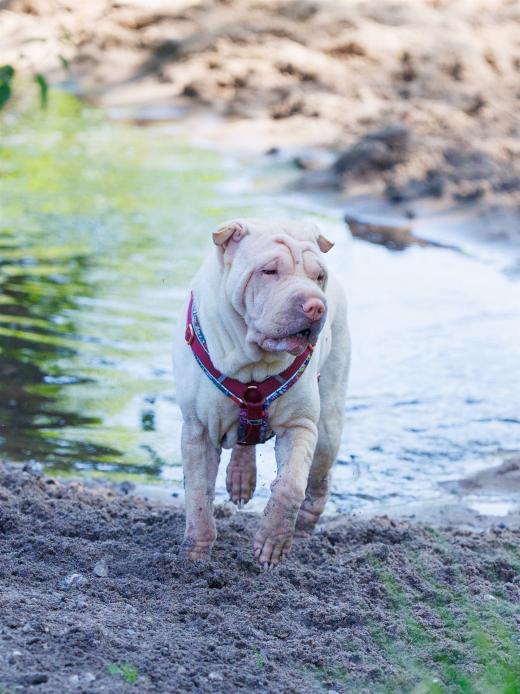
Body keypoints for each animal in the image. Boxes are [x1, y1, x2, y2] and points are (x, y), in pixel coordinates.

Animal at [172, 218, 350, 567]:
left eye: (318, 276)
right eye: (268, 271)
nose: (315, 307)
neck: (253, 361)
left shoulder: (300, 425)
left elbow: (290, 486)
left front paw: (273, 542)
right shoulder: (198, 429)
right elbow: (198, 493)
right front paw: (196, 553)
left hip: (328, 426)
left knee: (319, 476)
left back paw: (305, 524)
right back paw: (241, 475)